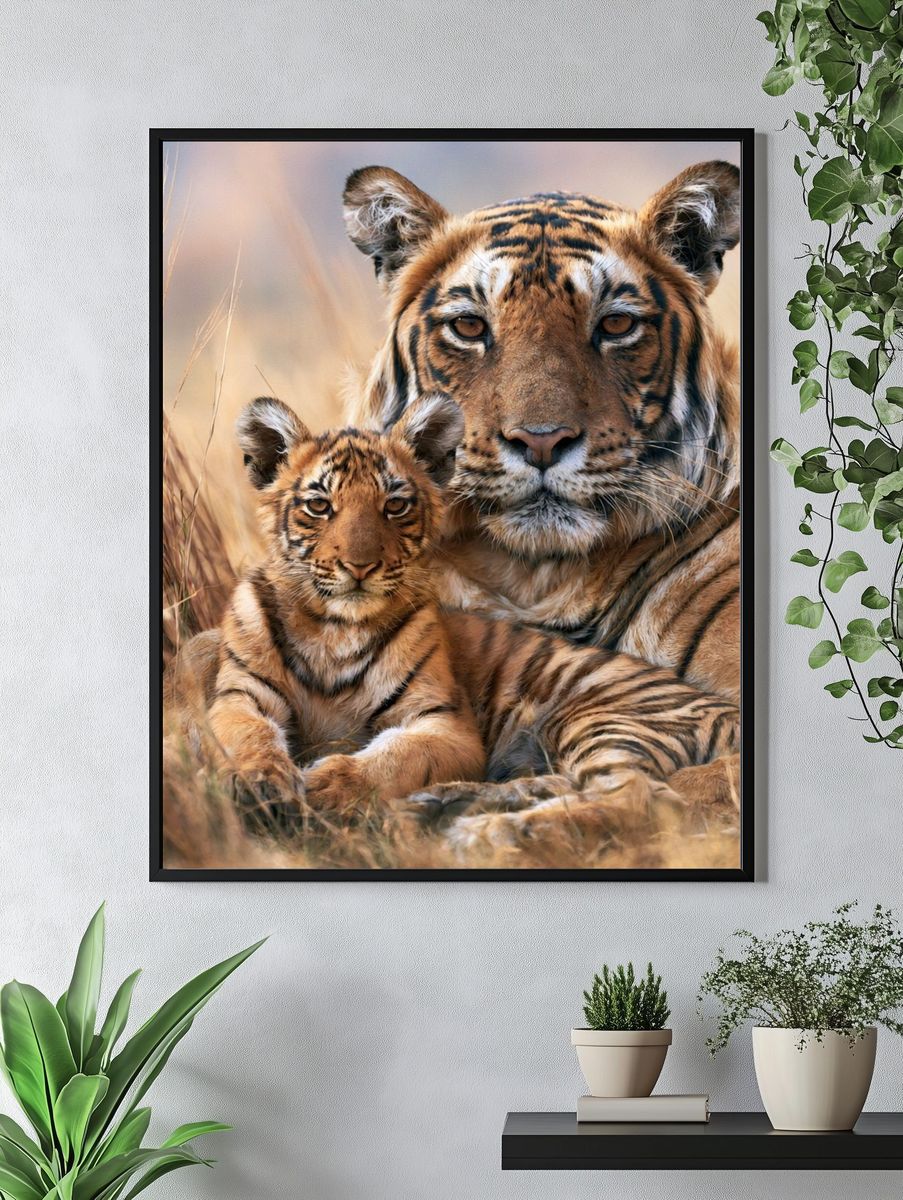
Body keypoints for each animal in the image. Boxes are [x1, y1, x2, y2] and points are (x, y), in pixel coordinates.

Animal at [178, 390, 739, 853]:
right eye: (319, 506)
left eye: (395, 505)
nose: (360, 566)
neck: (332, 629)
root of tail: (729, 710)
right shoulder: (241, 696)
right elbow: (249, 738)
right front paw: (261, 785)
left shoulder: (443, 722)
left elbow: (391, 759)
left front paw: (323, 785)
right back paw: (446, 806)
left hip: (600, 718)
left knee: (642, 798)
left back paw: (491, 832)